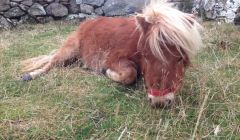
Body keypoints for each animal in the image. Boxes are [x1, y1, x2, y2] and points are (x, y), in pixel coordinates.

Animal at [21, 0, 203, 107]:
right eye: (146, 56)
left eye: (180, 59)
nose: (160, 102)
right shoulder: (114, 58)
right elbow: (130, 73)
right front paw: (108, 73)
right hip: (69, 49)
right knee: (51, 62)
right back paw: (30, 75)